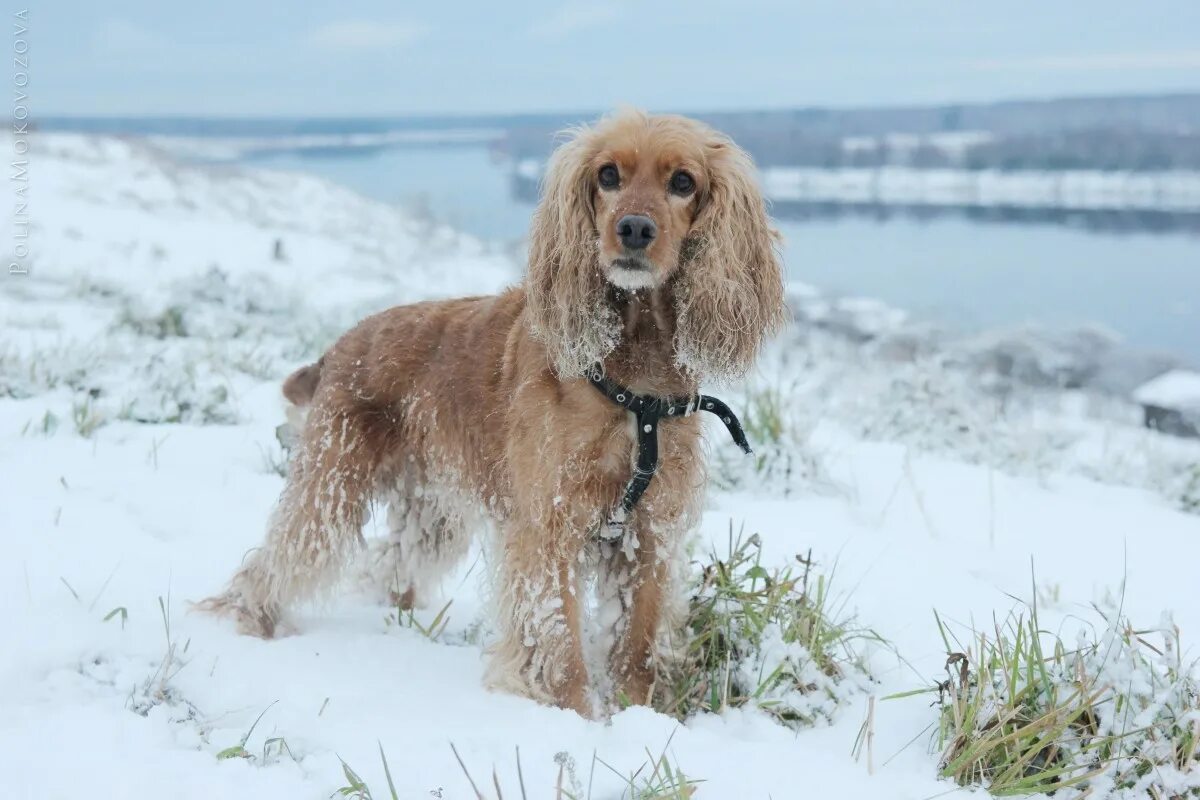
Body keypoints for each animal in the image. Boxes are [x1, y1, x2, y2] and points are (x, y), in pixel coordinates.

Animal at [199, 109, 787, 714]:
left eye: (683, 182)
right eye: (607, 175)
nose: (634, 230)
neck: (634, 381)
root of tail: (339, 346)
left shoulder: (650, 534)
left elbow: (639, 647)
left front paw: (636, 712)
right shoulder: (548, 528)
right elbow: (560, 643)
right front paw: (574, 716)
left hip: (430, 508)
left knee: (388, 561)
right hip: (331, 483)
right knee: (275, 560)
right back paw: (251, 621)